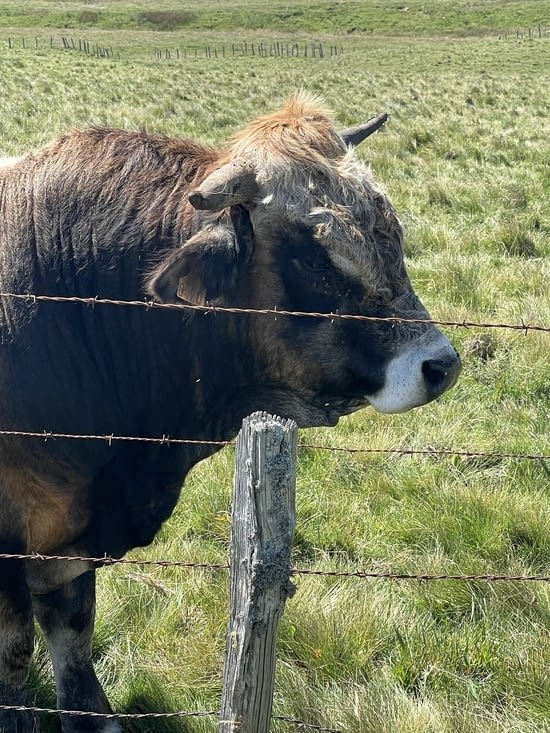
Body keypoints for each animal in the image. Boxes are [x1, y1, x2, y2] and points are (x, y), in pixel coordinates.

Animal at [0, 93, 462, 732]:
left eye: (391, 233)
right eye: (316, 260)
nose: (441, 365)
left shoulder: (69, 540)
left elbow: (74, 637)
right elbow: (17, 653)